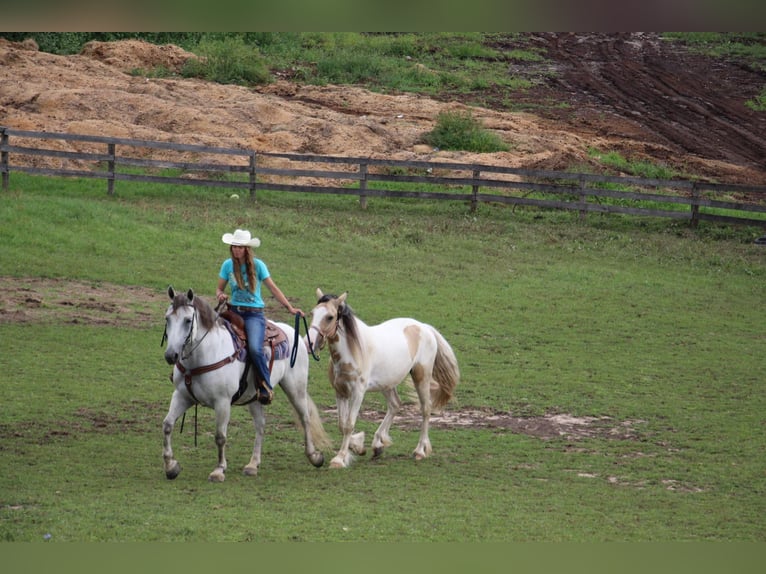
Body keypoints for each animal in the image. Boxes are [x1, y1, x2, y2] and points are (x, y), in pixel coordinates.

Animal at [162, 288, 330, 482]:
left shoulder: (222, 402)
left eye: (188, 320)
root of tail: (293, 333)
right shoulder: (182, 396)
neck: (204, 356)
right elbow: (167, 425)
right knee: (260, 425)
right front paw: (171, 466)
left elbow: (220, 436)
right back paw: (252, 464)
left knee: (305, 418)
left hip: (296, 389)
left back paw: (314, 456)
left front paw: (219, 470)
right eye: (167, 319)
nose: (171, 355)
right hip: (255, 396)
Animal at [308, 290, 462, 470]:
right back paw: (378, 445)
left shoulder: (358, 393)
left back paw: (419, 451)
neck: (352, 351)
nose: (309, 342)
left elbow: (348, 425)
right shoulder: (340, 392)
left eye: (330, 317)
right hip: (387, 383)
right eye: (312, 313)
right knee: (395, 405)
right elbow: (341, 424)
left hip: (421, 376)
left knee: (425, 409)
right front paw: (358, 447)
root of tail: (424, 327)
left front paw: (339, 459)